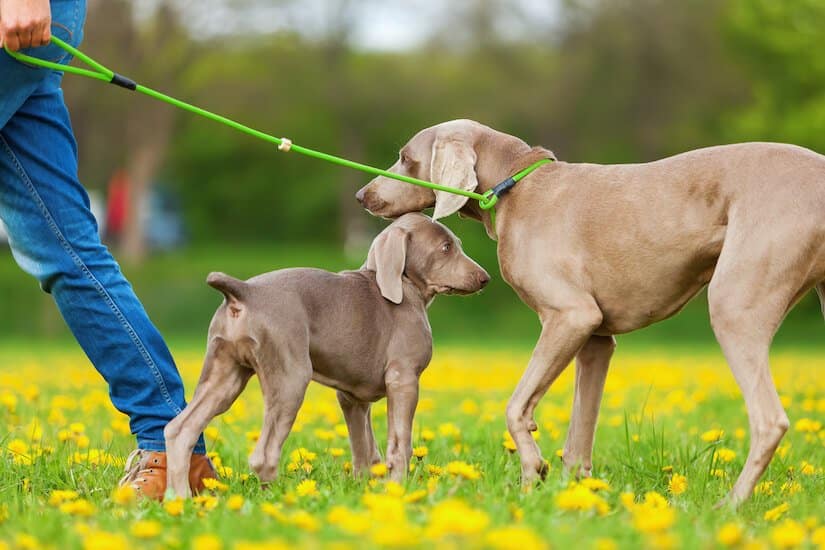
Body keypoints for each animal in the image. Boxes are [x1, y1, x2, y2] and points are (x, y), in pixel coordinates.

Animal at [166, 213, 490, 498]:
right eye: (445, 247)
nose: (484, 278)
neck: (403, 288)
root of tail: (243, 290)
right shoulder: (404, 379)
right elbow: (400, 444)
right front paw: (397, 489)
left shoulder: (352, 398)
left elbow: (365, 451)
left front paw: (365, 490)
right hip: (290, 378)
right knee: (263, 455)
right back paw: (282, 499)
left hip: (224, 375)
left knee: (180, 430)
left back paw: (180, 499)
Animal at [356, 119, 824, 504]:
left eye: (405, 157)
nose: (363, 195)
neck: (517, 183)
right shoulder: (597, 340)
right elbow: (579, 433)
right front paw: (572, 496)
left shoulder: (570, 316)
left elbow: (516, 407)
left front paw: (532, 473)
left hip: (733, 304)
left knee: (770, 421)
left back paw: (731, 506)